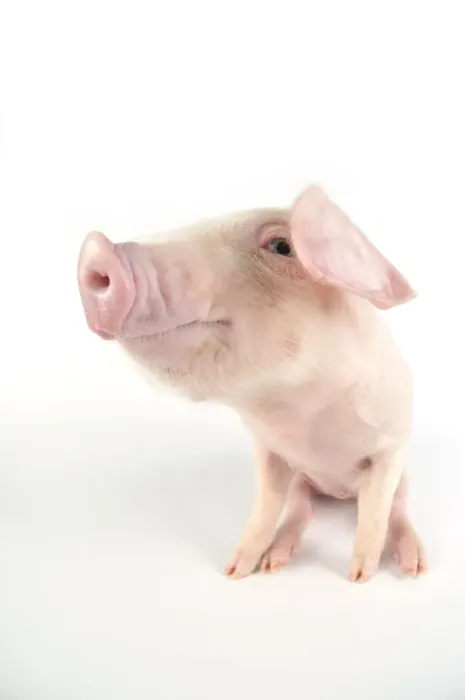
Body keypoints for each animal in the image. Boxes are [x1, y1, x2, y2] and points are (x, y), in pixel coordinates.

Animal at [77, 185, 427, 583]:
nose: (95, 247)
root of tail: (339, 493)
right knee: (299, 510)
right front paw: (234, 571)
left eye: (282, 246)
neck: (305, 417)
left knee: (397, 510)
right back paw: (276, 562)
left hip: (404, 478)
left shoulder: (391, 447)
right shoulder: (269, 451)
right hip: (303, 481)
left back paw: (414, 565)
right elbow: (265, 507)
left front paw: (358, 577)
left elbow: (375, 513)